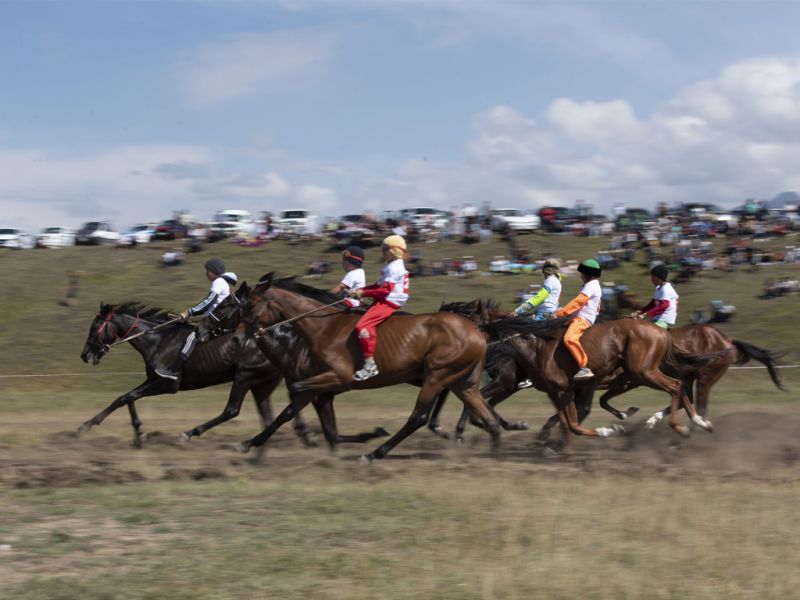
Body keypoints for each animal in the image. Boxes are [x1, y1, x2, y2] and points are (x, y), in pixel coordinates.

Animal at [233, 274, 500, 462]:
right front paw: (248, 444)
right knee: (484, 412)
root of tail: (475, 330)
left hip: (437, 376)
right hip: (462, 382)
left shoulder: (337, 377)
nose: (236, 339)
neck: (323, 327)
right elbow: (288, 411)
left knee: (418, 418)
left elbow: (297, 394)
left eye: (249, 306)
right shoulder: (321, 381)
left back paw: (373, 454)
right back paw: (493, 449)